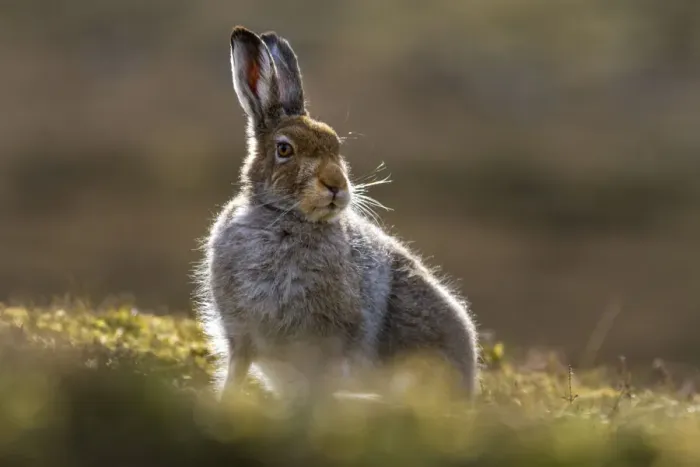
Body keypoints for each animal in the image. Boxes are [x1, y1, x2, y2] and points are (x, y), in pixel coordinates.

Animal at [194, 26, 479, 402]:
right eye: (284, 149)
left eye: (336, 146)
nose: (336, 185)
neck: (286, 220)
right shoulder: (240, 338)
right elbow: (234, 376)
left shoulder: (326, 345)